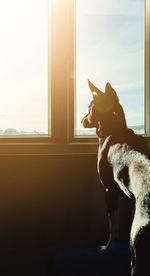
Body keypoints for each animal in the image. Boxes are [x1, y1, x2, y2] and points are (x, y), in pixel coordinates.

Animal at [81, 80, 150, 276]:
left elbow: (113, 224)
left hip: (139, 240)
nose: (82, 120)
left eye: (89, 108)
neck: (114, 128)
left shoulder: (109, 190)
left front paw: (109, 248)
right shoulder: (132, 198)